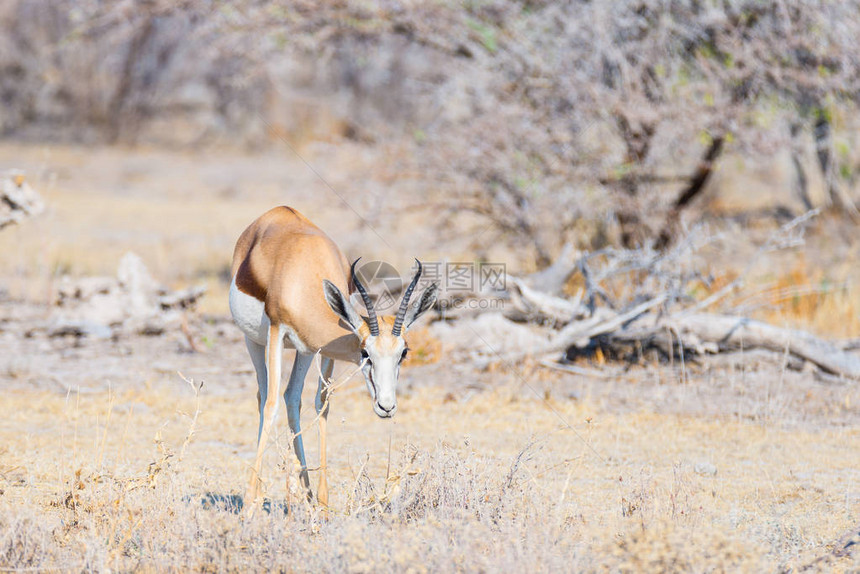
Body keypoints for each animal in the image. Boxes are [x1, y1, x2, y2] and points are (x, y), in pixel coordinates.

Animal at [228, 207, 436, 512]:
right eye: (365, 353)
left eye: (403, 353)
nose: (386, 407)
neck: (303, 272)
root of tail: (277, 212)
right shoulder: (277, 332)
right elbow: (271, 405)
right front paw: (248, 507)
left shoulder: (322, 349)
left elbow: (322, 405)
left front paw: (324, 505)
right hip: (254, 340)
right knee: (265, 395)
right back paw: (257, 497)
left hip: (304, 350)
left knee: (292, 397)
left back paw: (306, 495)